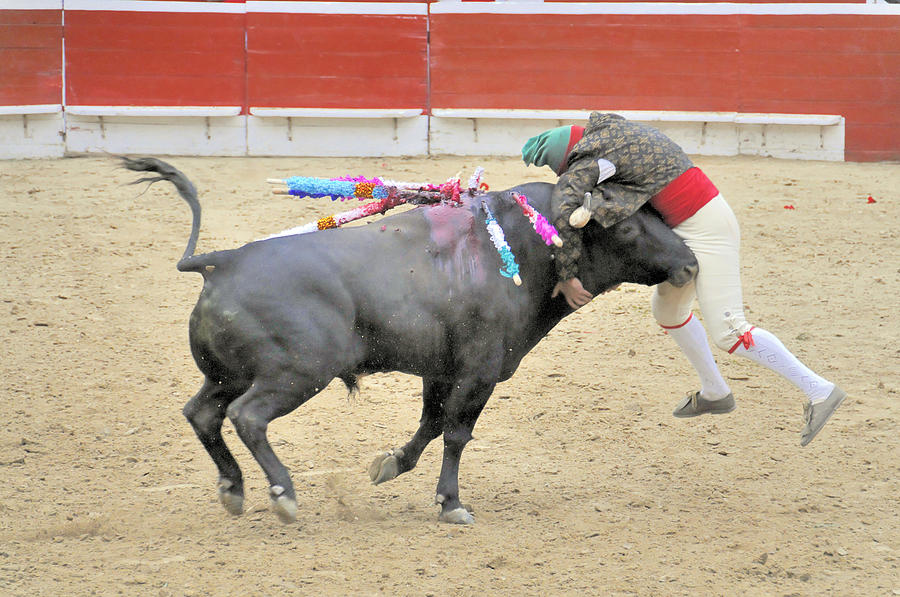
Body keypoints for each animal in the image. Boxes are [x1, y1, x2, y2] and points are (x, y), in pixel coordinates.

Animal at [121, 156, 696, 524]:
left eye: (657, 216)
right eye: (627, 229)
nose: (690, 264)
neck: (524, 246)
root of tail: (221, 263)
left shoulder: (441, 371)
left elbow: (430, 424)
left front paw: (390, 465)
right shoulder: (479, 371)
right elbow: (457, 433)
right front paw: (451, 504)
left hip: (227, 373)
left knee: (202, 413)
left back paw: (233, 490)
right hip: (296, 372)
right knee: (247, 417)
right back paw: (283, 494)